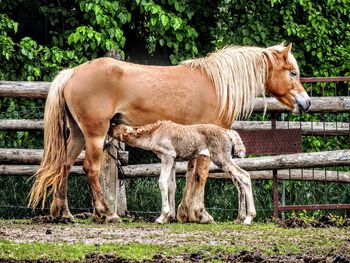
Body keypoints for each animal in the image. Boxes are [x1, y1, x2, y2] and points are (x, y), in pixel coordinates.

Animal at [110, 120, 256, 226]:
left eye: (119, 128)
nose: (110, 126)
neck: (154, 136)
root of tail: (228, 133)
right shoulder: (172, 160)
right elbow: (171, 186)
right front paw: (169, 217)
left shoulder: (168, 156)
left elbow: (162, 182)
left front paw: (161, 217)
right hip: (226, 158)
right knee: (239, 180)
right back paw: (240, 218)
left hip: (220, 158)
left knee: (244, 176)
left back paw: (248, 219)